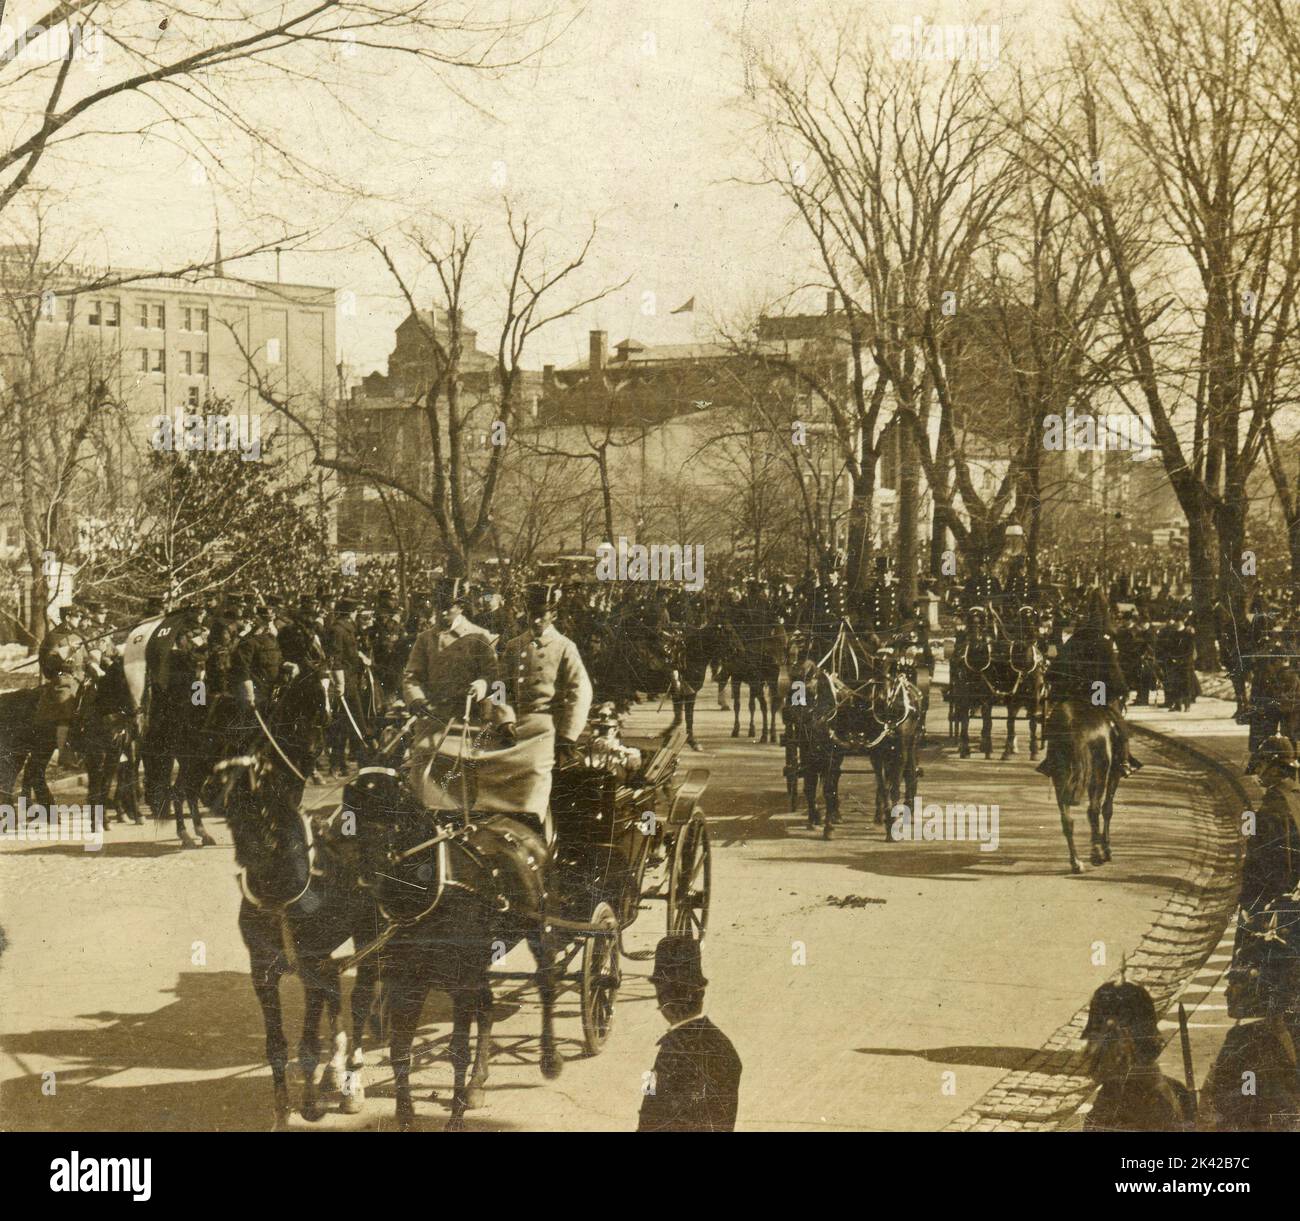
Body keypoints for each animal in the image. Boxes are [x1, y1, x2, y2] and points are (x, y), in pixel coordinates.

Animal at [211, 663, 379, 1133]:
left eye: (263, 800)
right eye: (231, 804)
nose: (250, 858)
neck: (282, 892)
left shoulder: (311, 964)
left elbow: (306, 1043)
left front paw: (310, 1104)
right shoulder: (264, 971)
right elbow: (276, 1046)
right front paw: (282, 1108)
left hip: (367, 932)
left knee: (361, 998)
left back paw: (351, 1081)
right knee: (340, 996)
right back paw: (335, 1071)